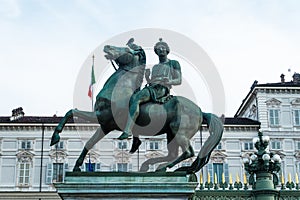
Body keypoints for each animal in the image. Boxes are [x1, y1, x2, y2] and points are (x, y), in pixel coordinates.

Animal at [50, 42, 223, 173]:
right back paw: (151, 166)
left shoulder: (104, 117)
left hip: (179, 132)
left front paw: (55, 137)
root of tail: (201, 111)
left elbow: (72, 113)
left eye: (126, 49)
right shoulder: (104, 124)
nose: (107, 46)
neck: (119, 88)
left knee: (187, 152)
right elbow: (87, 140)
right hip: (171, 134)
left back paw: (161, 168)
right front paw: (75, 164)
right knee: (173, 154)